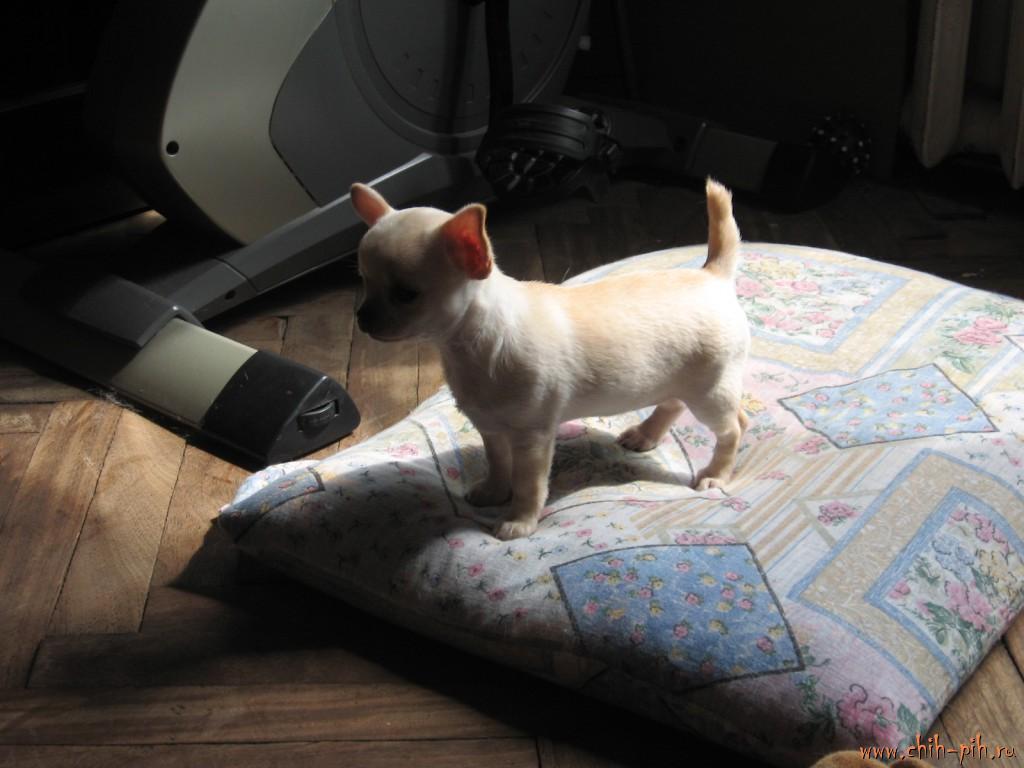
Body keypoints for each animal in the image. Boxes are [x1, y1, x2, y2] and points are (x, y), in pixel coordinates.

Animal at [350, 179, 750, 540]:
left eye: (406, 295)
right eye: (364, 282)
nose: (362, 317)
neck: (467, 344)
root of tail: (712, 275)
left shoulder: (532, 438)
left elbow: (528, 483)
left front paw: (519, 521)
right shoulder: (491, 429)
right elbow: (498, 464)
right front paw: (494, 492)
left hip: (708, 392)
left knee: (733, 427)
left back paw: (716, 473)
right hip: (680, 379)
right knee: (675, 404)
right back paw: (645, 434)